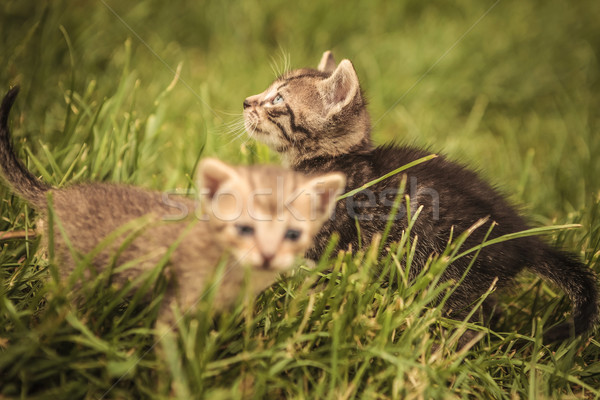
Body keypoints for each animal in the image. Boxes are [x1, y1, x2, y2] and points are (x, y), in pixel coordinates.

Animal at [241, 50, 596, 344]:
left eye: (277, 99)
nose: (246, 101)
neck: (332, 160)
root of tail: (524, 241)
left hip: (452, 272)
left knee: (469, 322)